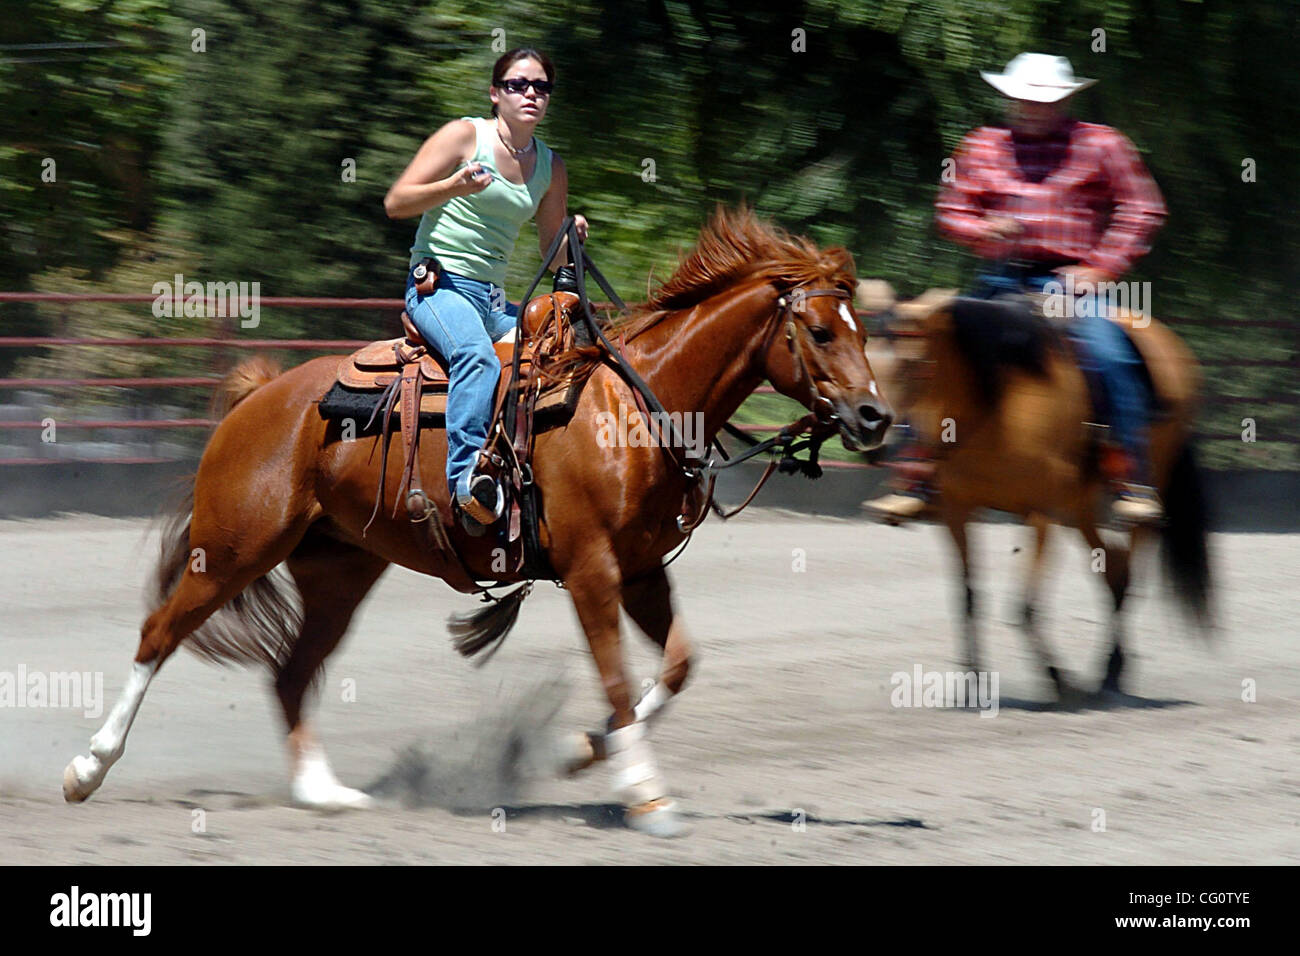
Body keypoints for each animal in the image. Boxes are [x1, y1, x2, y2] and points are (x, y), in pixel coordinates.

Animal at [61, 205, 894, 832]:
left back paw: (323, 792)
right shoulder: (592, 571)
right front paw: (645, 794)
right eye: (822, 332)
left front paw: (581, 750)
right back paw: (86, 770)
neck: (633, 406)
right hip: (234, 547)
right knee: (159, 635)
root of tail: (260, 396)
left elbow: (678, 666)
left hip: (339, 568)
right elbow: (619, 676)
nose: (875, 417)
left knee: (292, 672)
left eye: (862, 329)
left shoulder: (641, 572)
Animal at [857, 280, 1211, 697]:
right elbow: (968, 597)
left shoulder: (1039, 512)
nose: (872, 439)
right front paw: (974, 679)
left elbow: (1023, 606)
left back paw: (1110, 670)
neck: (997, 401)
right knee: (1115, 568)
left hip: (1141, 483)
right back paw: (1110, 669)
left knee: (1133, 561)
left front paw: (1057, 677)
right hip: (1077, 505)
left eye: (912, 366)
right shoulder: (957, 510)